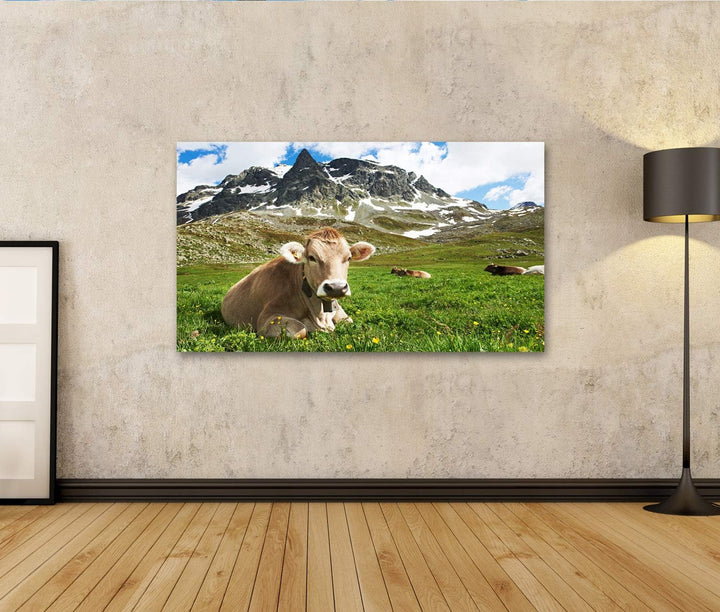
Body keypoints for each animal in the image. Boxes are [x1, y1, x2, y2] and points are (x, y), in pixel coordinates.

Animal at [221, 227, 376, 338]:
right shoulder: (265, 319)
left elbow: (349, 321)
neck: (319, 315)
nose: (336, 287)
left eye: (348, 258)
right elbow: (301, 329)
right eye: (312, 257)